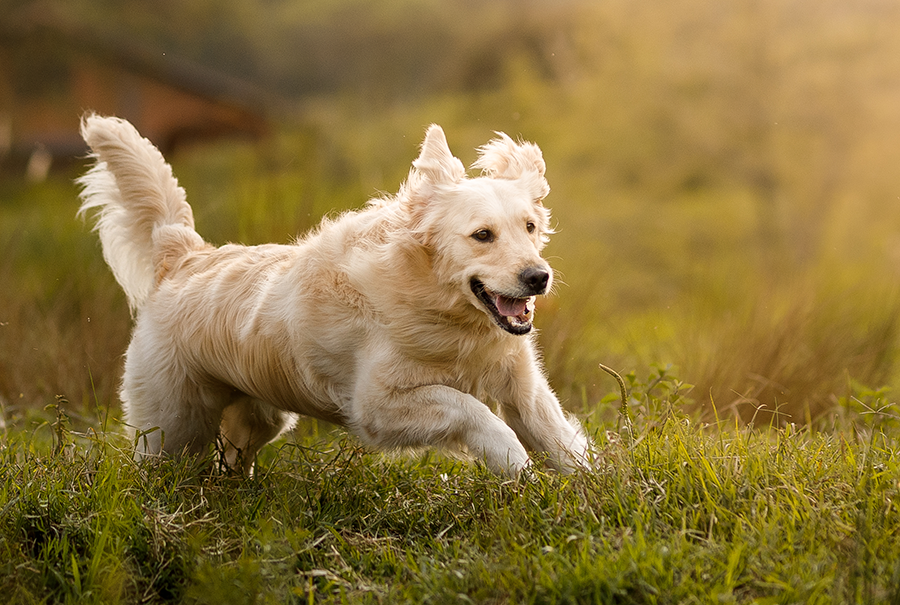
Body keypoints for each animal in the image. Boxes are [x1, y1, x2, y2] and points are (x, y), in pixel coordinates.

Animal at [79, 112, 592, 472]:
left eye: (530, 227)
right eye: (482, 235)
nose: (538, 277)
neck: (441, 309)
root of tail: (184, 253)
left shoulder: (523, 385)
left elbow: (560, 440)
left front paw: (594, 492)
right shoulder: (377, 405)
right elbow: (471, 407)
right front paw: (513, 461)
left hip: (259, 416)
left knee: (234, 460)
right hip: (172, 429)